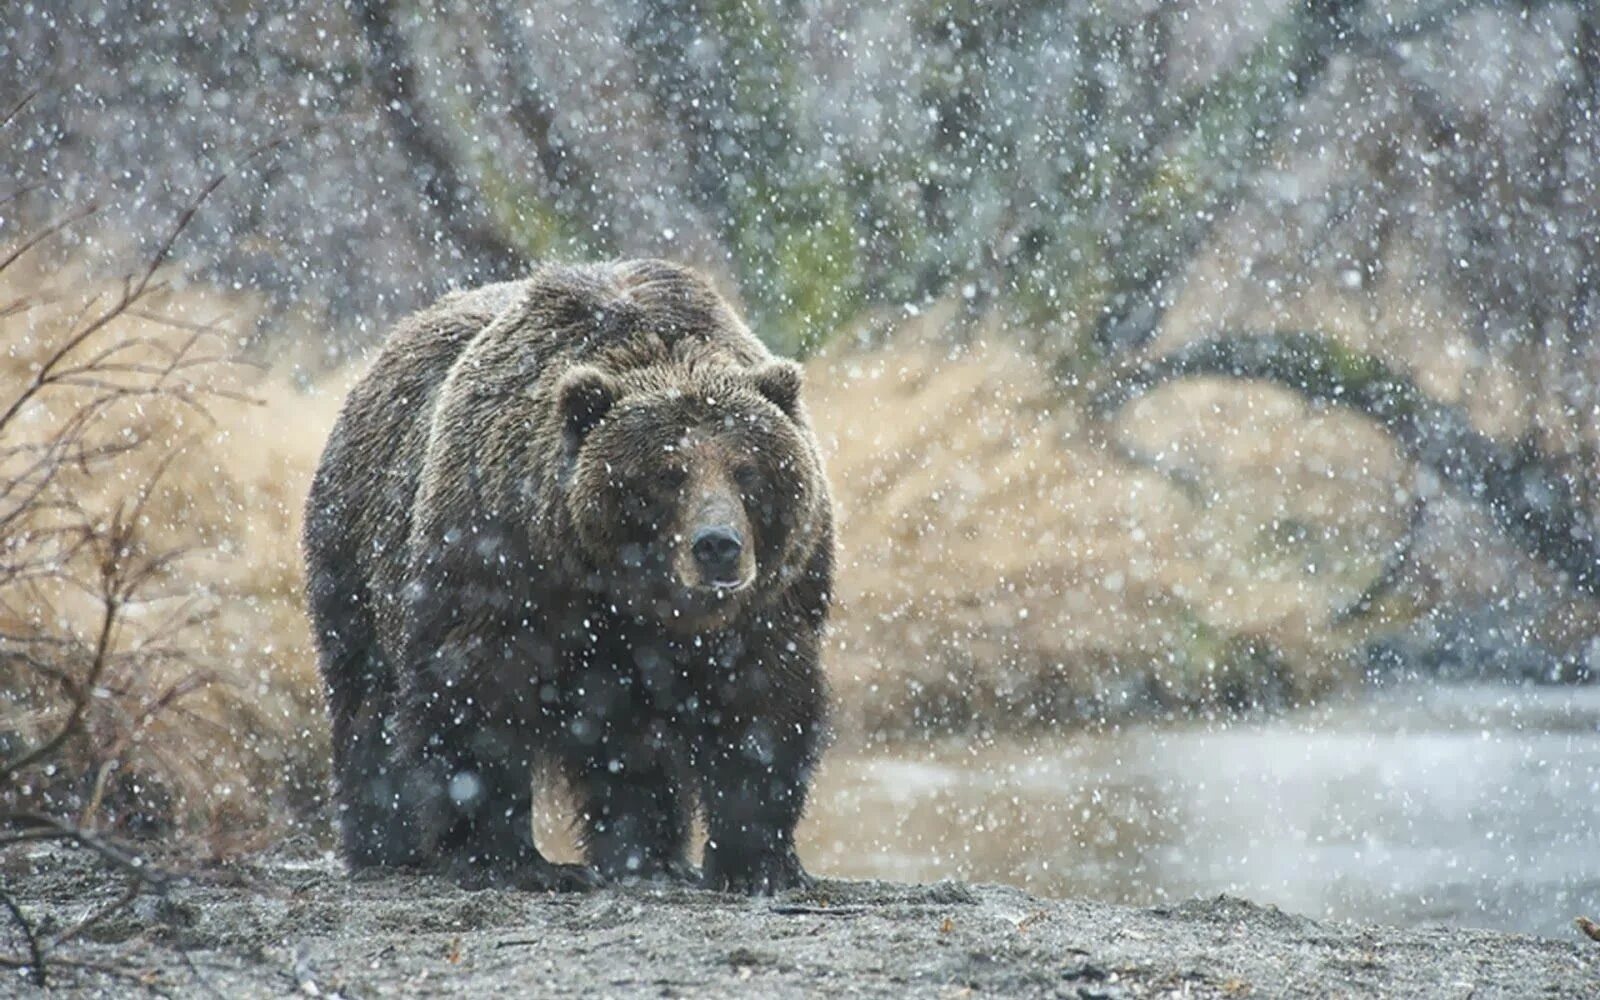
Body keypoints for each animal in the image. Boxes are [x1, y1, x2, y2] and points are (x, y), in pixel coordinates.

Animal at [297, 260, 838, 896]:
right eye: (667, 474)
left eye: (747, 469)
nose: (717, 547)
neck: (626, 589)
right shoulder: (500, 557)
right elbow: (477, 697)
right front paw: (510, 860)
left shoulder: (770, 601)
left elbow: (762, 708)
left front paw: (757, 863)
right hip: (356, 549)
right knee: (368, 701)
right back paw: (385, 845)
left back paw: (650, 855)